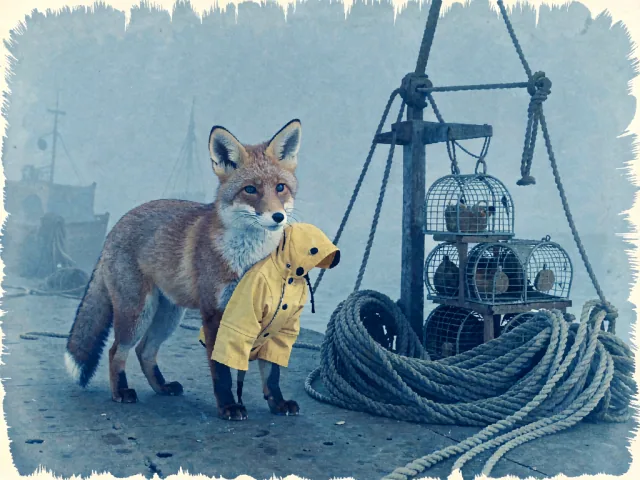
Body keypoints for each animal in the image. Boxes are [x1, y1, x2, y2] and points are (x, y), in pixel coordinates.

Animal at [65, 119, 303, 420]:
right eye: (250, 190)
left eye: (281, 187)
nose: (278, 217)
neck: (249, 260)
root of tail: (116, 226)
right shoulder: (215, 313)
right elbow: (222, 372)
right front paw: (228, 406)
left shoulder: (273, 317)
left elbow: (272, 373)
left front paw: (277, 403)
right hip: (138, 313)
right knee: (116, 350)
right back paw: (121, 392)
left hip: (169, 316)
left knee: (144, 351)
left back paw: (162, 387)